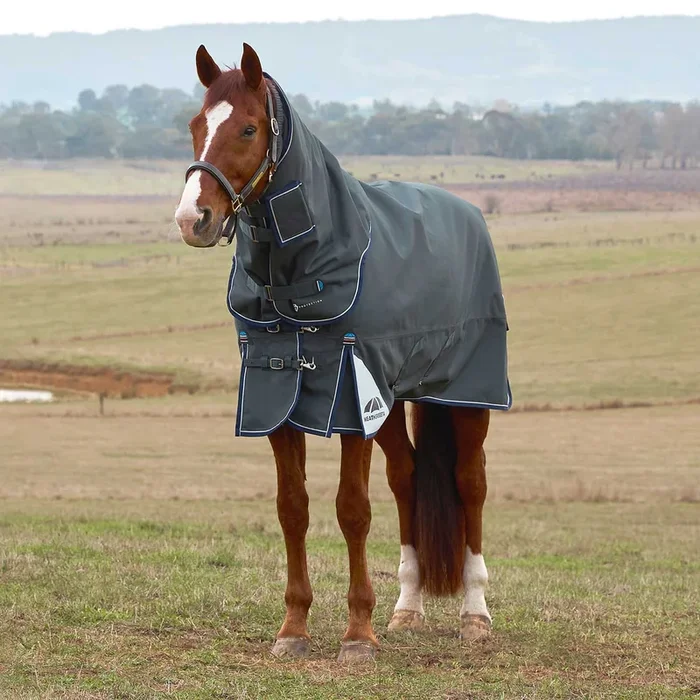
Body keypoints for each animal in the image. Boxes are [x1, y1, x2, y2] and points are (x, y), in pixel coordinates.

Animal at [174, 43, 510, 663]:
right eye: (195, 126)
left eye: (248, 128)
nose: (193, 219)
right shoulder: (278, 396)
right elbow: (293, 509)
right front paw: (293, 629)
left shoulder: (351, 398)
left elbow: (352, 510)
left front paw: (357, 636)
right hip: (395, 399)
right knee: (407, 478)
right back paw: (408, 607)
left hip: (467, 393)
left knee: (470, 482)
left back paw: (475, 614)